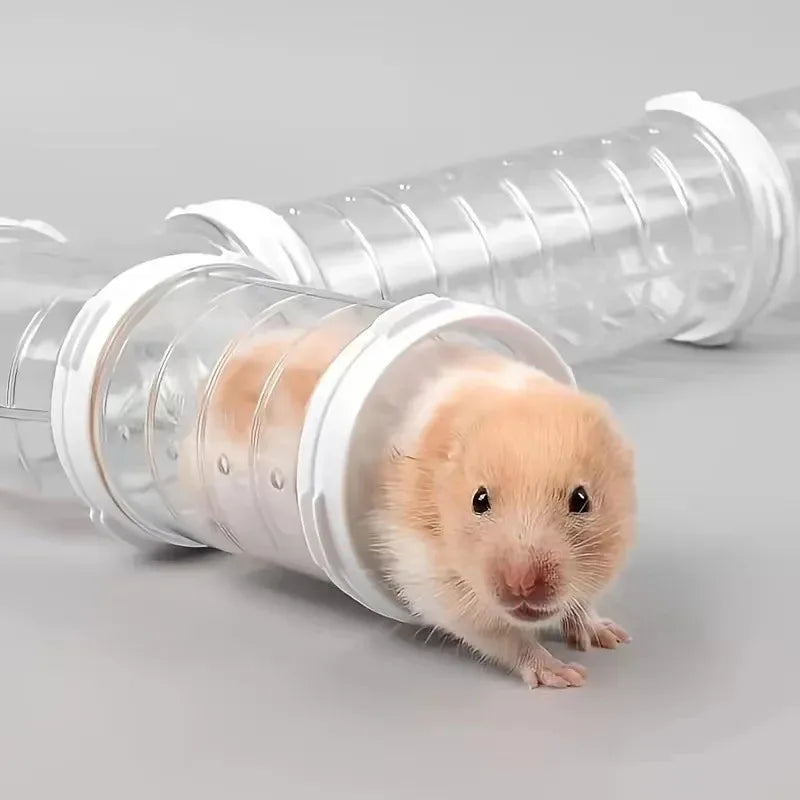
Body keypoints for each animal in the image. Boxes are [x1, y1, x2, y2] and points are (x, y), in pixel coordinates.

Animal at [191, 322, 636, 688]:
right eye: (479, 500)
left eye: (581, 500)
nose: (521, 587)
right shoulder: (431, 584)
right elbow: (503, 637)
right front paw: (565, 674)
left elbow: (581, 604)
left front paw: (611, 636)